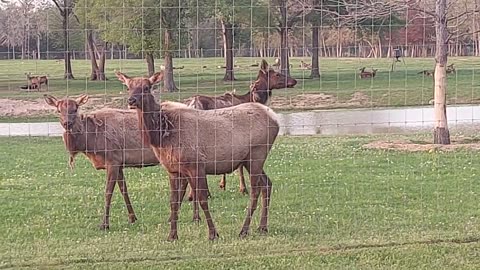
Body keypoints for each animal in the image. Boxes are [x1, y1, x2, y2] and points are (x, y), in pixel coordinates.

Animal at [116, 71, 282, 240]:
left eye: (147, 87)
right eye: (128, 87)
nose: (131, 100)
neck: (162, 137)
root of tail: (275, 119)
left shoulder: (196, 165)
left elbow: (202, 198)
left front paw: (213, 233)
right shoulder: (173, 170)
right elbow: (174, 201)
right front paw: (172, 235)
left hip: (257, 153)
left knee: (255, 190)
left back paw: (244, 230)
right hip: (248, 159)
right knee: (267, 183)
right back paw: (262, 227)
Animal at [184, 58, 296, 194]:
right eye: (277, 74)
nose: (294, 80)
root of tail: (191, 104)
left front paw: (223, 184)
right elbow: (240, 166)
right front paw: (242, 188)